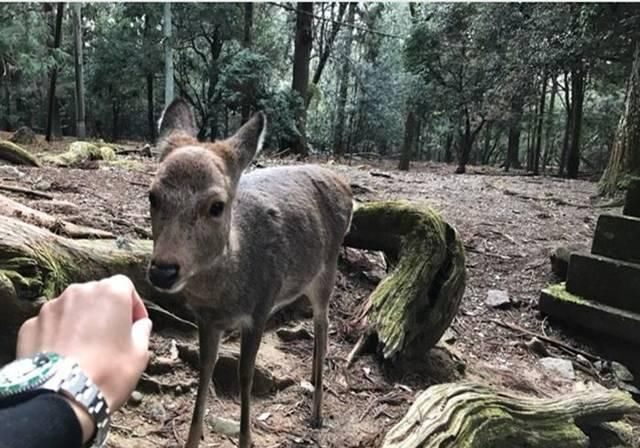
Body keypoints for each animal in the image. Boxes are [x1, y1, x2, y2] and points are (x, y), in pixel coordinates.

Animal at [147, 99, 352, 448]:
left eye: (216, 205)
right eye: (152, 196)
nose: (163, 270)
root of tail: (347, 188)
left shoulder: (260, 308)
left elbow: (246, 375)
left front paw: (246, 438)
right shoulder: (205, 319)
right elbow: (205, 368)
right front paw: (192, 438)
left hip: (327, 267)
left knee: (323, 323)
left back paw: (317, 413)